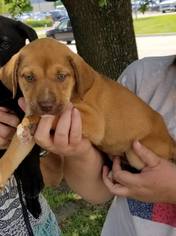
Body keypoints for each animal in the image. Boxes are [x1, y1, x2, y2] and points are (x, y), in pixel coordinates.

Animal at [0, 37, 175, 187]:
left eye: (61, 76)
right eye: (29, 77)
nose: (46, 105)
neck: (74, 93)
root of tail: (170, 140)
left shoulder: (94, 120)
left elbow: (56, 114)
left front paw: (31, 121)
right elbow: (11, 155)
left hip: (135, 151)